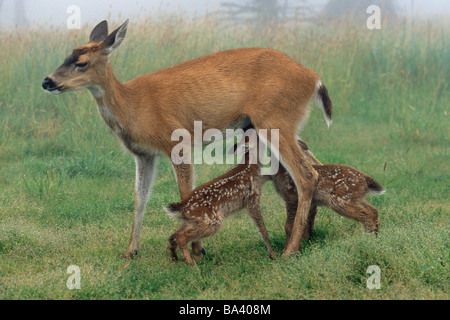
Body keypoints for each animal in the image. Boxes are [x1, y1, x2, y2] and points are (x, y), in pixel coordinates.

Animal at [43, 20, 330, 260]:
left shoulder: (176, 142)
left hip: (274, 120)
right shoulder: (144, 154)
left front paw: (197, 249)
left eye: (81, 62)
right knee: (313, 161)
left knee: (306, 175)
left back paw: (290, 250)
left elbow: (184, 193)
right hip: (283, 124)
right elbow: (139, 197)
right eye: (66, 56)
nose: (47, 81)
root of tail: (314, 78)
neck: (132, 106)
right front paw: (130, 251)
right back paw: (307, 236)